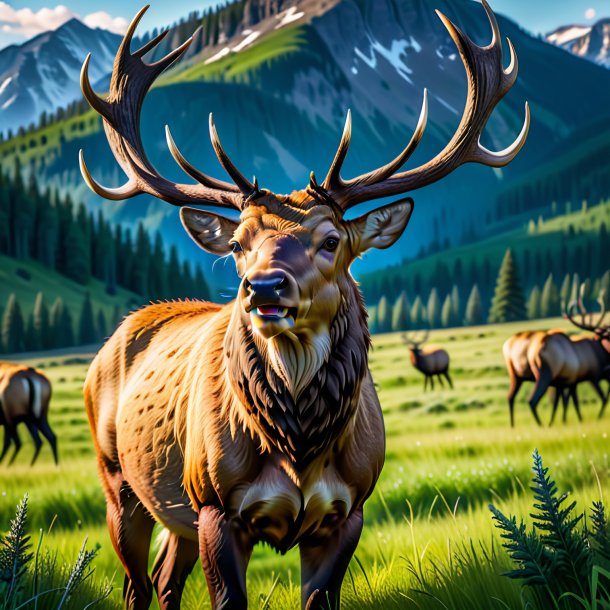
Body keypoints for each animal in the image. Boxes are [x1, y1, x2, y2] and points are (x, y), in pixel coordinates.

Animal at [77, 4, 528, 608]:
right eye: (238, 243)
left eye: (332, 239)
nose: (264, 288)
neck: (298, 446)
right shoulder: (216, 505)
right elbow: (228, 598)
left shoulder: (349, 510)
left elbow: (319, 596)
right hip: (120, 483)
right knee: (136, 583)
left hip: (176, 515)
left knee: (166, 580)